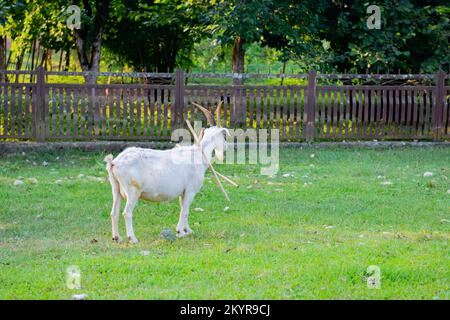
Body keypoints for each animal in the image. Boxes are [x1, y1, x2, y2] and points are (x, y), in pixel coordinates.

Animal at [103, 104, 227, 242]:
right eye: (224, 136)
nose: (226, 147)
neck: (199, 154)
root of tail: (114, 162)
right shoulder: (190, 190)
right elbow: (185, 211)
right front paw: (180, 232)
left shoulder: (183, 192)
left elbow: (184, 209)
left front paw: (188, 230)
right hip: (132, 191)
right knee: (127, 213)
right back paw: (132, 239)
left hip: (116, 189)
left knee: (114, 213)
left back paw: (116, 238)